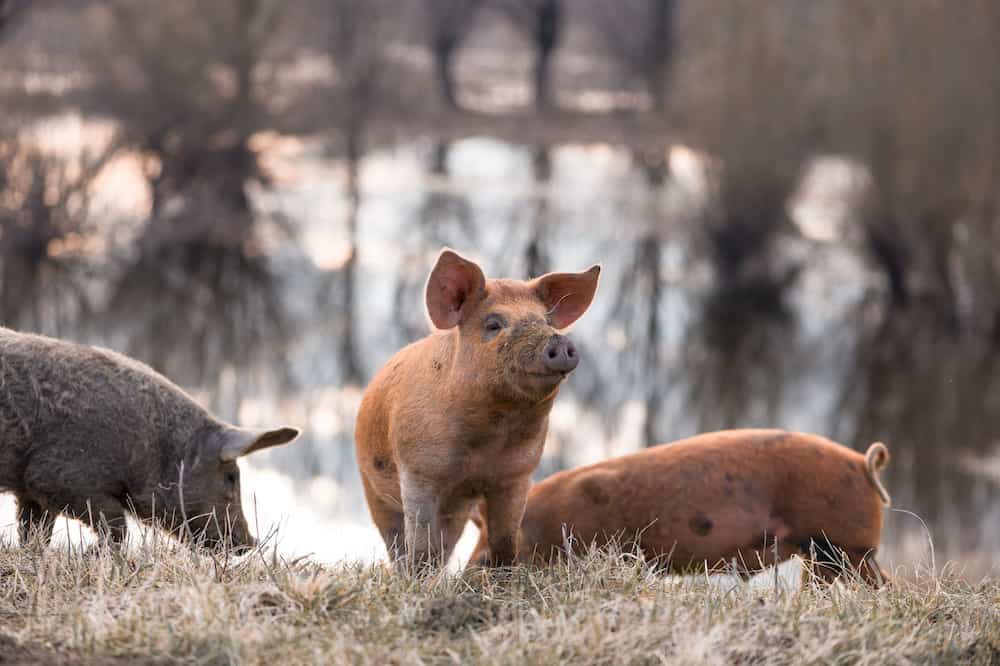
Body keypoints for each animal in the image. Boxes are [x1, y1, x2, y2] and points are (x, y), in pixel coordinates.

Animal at [0, 326, 300, 548]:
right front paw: (92, 554)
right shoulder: (57, 476)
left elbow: (35, 532)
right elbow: (116, 525)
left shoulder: (31, 491)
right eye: (231, 477)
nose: (250, 543)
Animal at [356, 246, 596, 568]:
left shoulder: (517, 474)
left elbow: (505, 541)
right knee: (397, 542)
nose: (558, 341)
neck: (486, 442)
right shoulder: (418, 471)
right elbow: (420, 543)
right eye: (493, 325)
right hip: (373, 490)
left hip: (456, 512)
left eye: (546, 321)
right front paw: (418, 576)